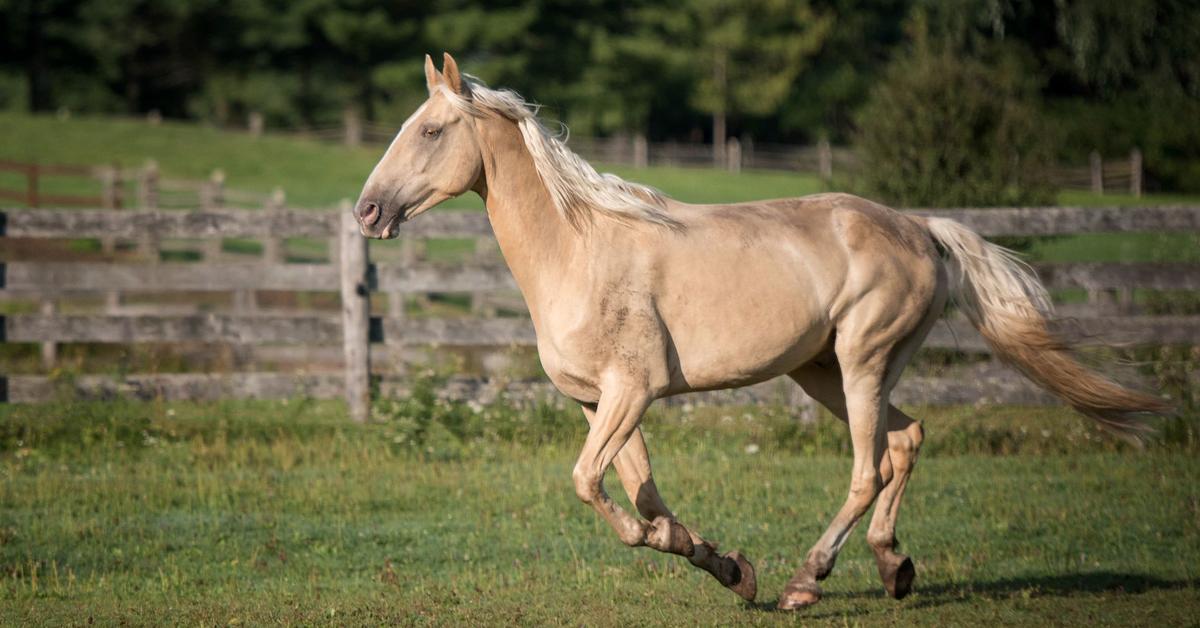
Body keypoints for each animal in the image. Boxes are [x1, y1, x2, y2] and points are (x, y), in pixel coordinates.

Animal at [350, 54, 1166, 609]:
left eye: (430, 130)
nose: (367, 211)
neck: (577, 248)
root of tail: (921, 229)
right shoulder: (598, 403)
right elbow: (642, 494)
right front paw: (725, 565)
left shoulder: (631, 392)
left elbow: (594, 487)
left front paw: (712, 560)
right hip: (822, 370)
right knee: (907, 440)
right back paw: (892, 568)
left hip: (863, 360)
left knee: (869, 466)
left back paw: (808, 581)